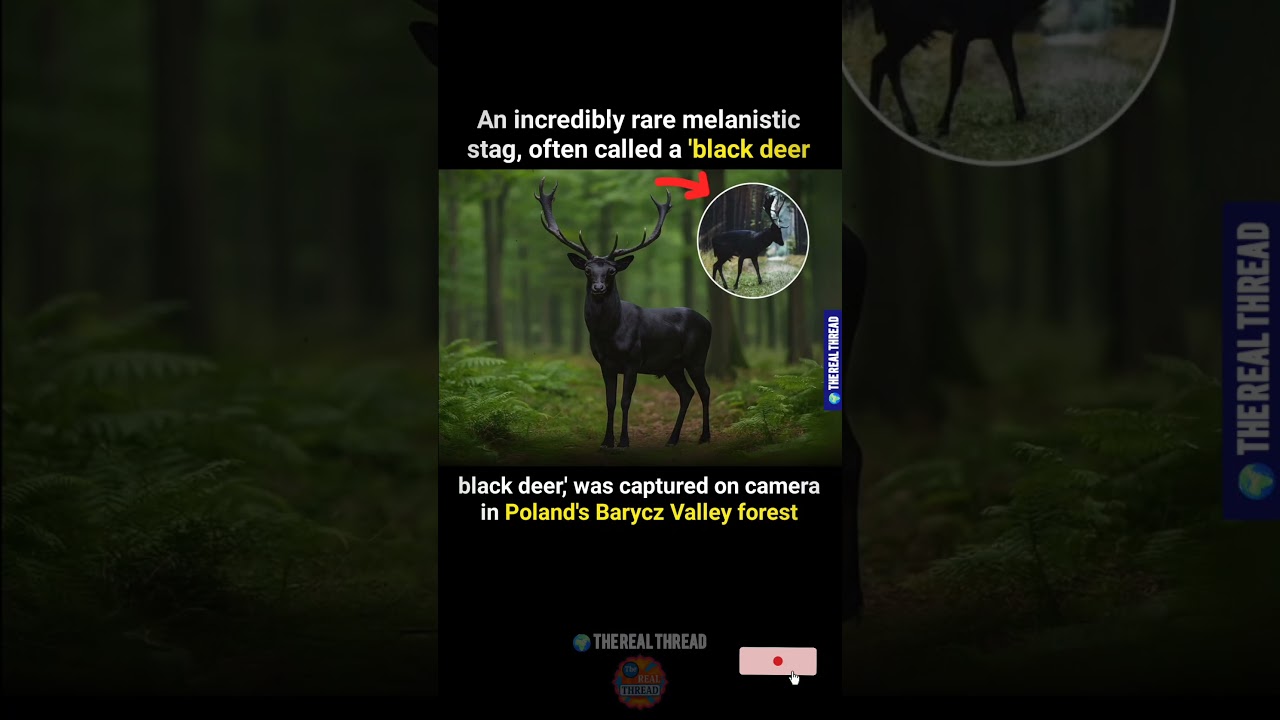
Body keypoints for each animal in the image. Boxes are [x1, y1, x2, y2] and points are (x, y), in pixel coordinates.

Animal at [535, 178, 713, 449]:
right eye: (587, 270)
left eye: (611, 271)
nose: (598, 288)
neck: (608, 334)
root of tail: (709, 323)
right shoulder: (605, 364)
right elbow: (609, 402)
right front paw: (607, 440)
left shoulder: (633, 361)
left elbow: (625, 401)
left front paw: (624, 441)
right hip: (672, 366)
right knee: (687, 392)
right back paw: (672, 439)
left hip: (696, 357)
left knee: (704, 390)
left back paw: (705, 436)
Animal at [866, 0, 1049, 137]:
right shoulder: (965, 29)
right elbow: (956, 78)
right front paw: (943, 125)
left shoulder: (1001, 30)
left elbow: (1011, 69)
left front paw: (1022, 114)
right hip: (906, 26)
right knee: (882, 62)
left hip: (902, 29)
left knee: (885, 64)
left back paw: (907, 124)